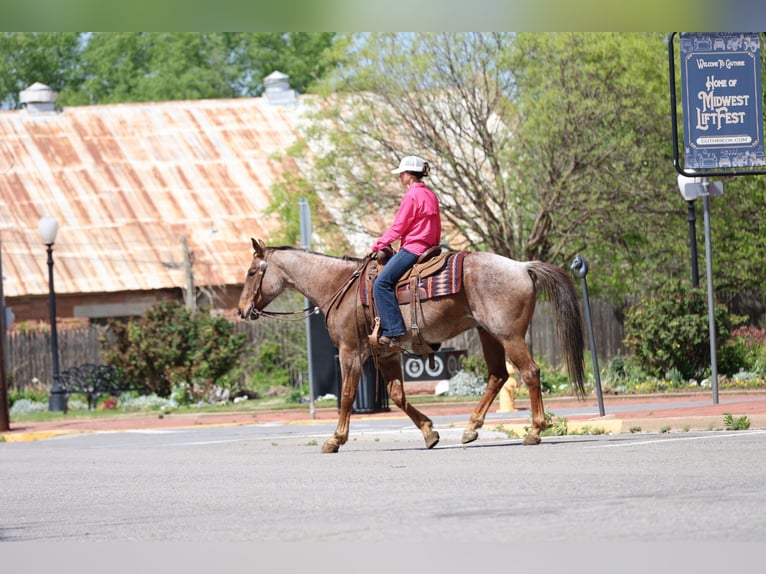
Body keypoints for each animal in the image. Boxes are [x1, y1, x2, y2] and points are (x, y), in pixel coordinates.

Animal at [237, 238, 586, 453]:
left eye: (252, 272)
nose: (242, 310)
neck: (339, 286)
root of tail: (521, 266)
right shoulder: (385, 353)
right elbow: (397, 396)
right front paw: (430, 432)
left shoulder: (350, 352)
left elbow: (347, 395)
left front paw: (335, 439)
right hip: (489, 334)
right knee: (498, 375)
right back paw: (471, 427)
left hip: (509, 335)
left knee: (529, 372)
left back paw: (535, 431)